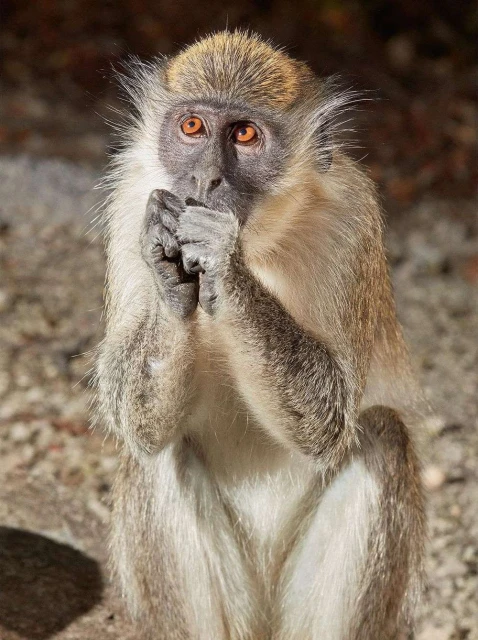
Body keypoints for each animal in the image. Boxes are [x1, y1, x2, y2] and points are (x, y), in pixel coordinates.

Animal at [95, 31, 426, 640]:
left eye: (244, 134)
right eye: (193, 126)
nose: (205, 181)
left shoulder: (353, 219)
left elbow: (328, 417)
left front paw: (223, 260)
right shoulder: (131, 200)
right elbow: (132, 412)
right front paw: (169, 268)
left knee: (383, 436)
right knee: (159, 453)